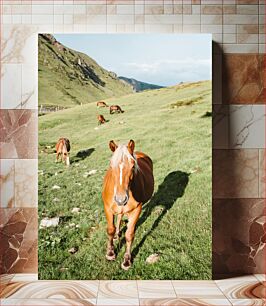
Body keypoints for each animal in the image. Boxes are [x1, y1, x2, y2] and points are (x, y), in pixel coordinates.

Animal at [102, 140, 154, 268]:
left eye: (133, 166)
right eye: (111, 165)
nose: (121, 199)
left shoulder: (136, 210)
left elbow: (129, 234)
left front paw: (127, 260)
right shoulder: (107, 208)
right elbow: (110, 229)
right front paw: (110, 253)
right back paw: (117, 234)